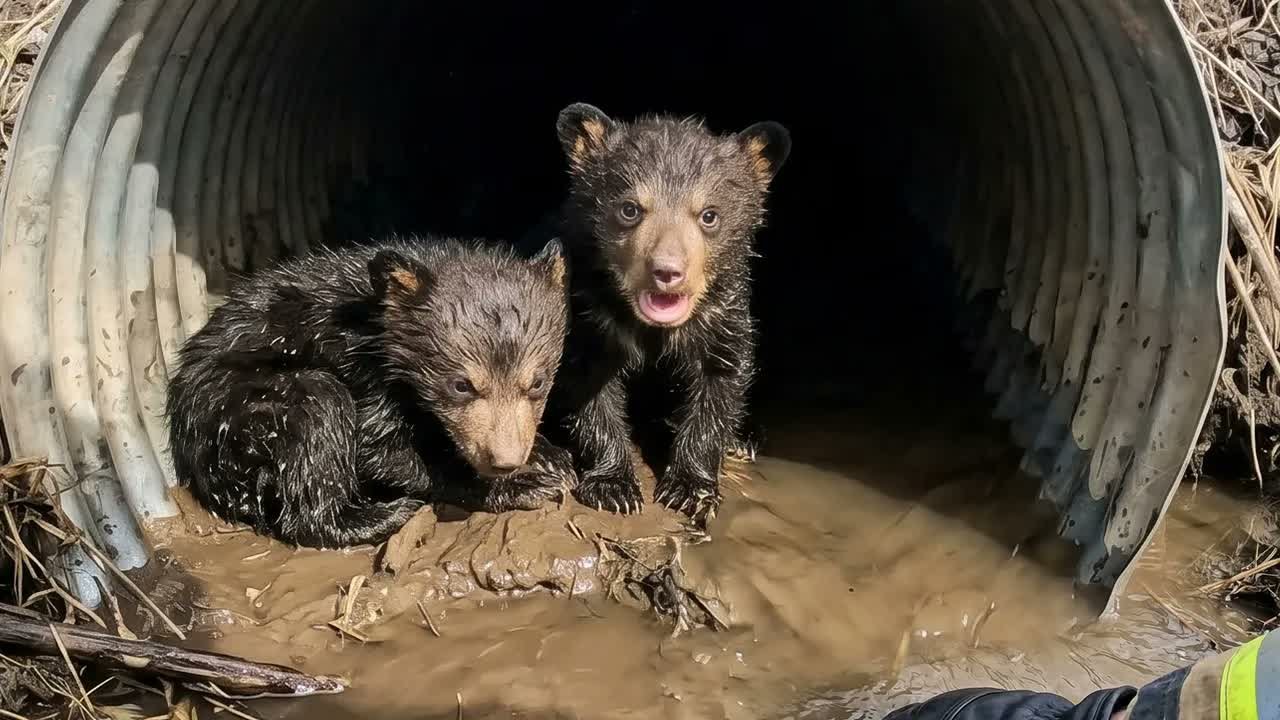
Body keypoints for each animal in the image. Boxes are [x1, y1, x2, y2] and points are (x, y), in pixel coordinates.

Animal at [165, 235, 576, 548]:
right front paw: (524, 484)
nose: (504, 461)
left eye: (537, 382)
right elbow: (380, 451)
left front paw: (551, 456)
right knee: (318, 408)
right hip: (238, 410)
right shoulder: (363, 370)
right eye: (461, 384)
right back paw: (383, 515)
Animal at [542, 102, 790, 521]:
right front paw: (613, 487)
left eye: (709, 215)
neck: (651, 327)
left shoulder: (723, 313)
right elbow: (588, 384)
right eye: (629, 209)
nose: (667, 271)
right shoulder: (590, 311)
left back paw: (746, 439)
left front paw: (690, 488)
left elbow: (719, 379)